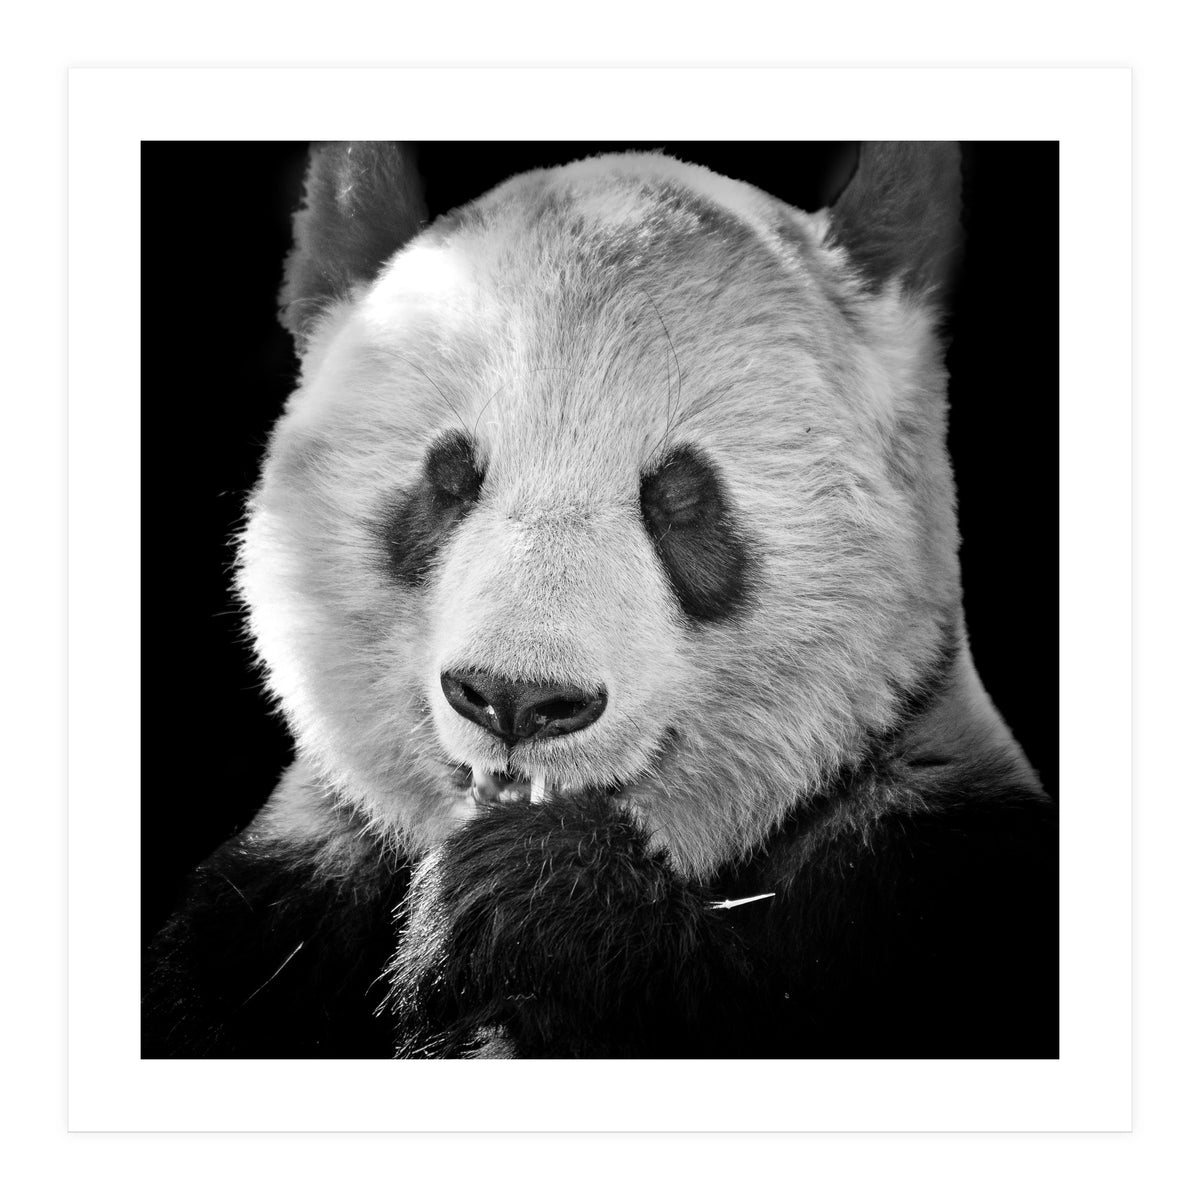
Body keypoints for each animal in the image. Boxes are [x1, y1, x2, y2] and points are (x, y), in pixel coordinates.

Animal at [143, 141, 1058, 1059]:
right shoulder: (277, 906)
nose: (516, 698)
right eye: (449, 479)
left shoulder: (926, 871)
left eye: (681, 499)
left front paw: (535, 898)